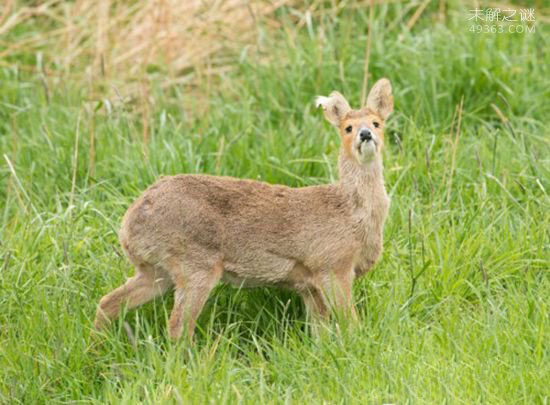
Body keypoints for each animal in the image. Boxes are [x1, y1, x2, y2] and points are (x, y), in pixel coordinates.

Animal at [96, 77, 396, 340]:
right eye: (347, 127)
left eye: (377, 122)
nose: (365, 134)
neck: (351, 211)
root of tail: (128, 226)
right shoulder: (332, 265)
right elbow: (350, 323)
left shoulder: (308, 284)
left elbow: (320, 332)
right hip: (194, 264)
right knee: (178, 326)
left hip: (156, 272)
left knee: (108, 303)